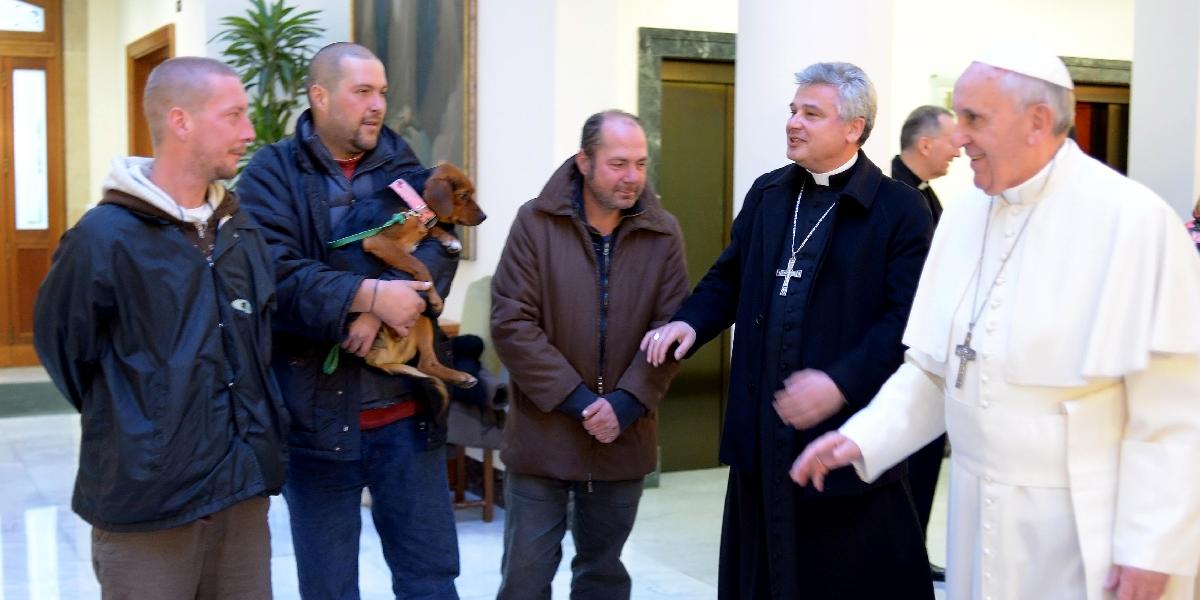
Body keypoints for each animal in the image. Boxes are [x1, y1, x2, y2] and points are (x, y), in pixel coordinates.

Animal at [360, 164, 487, 417]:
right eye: (464, 196)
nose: (484, 217)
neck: (412, 204)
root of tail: (378, 359)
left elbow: (430, 228)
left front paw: (449, 240)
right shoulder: (376, 241)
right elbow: (418, 264)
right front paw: (435, 295)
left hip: (422, 317)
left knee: (426, 363)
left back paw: (461, 377)